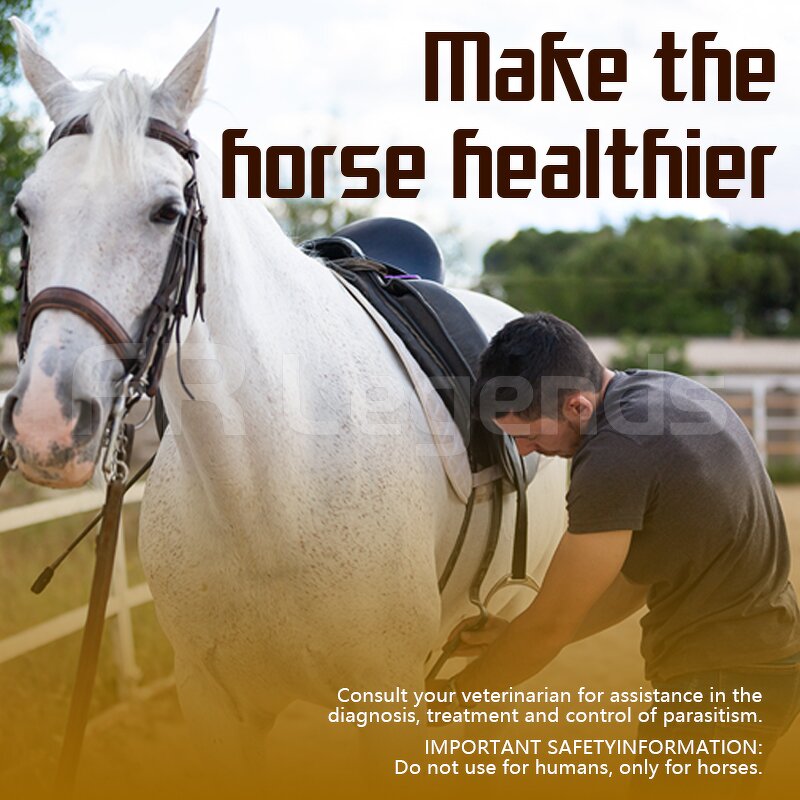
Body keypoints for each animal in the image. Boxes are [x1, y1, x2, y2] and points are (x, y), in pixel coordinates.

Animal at [1, 14, 568, 779]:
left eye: (166, 211)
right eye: (25, 210)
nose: (45, 423)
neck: (265, 488)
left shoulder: (384, 699)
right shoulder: (216, 704)